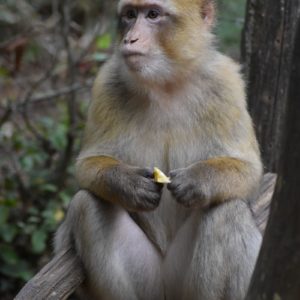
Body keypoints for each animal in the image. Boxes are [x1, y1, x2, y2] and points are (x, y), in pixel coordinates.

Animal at [54, 0, 262, 300]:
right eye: (130, 15)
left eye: (153, 14)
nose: (130, 39)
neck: (166, 83)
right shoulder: (107, 82)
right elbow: (86, 165)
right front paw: (127, 184)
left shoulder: (226, 82)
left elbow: (250, 171)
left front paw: (198, 180)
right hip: (149, 280)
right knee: (86, 205)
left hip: (180, 278)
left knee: (227, 211)